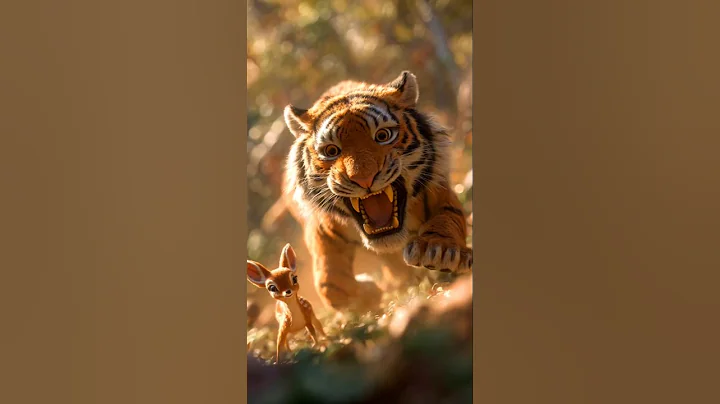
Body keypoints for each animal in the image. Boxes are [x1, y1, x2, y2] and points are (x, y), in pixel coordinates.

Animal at [280, 71, 472, 312]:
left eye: (382, 136)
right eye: (331, 151)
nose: (363, 178)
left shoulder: (438, 190)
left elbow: (447, 218)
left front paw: (438, 250)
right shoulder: (322, 229)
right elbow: (330, 284)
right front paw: (368, 292)